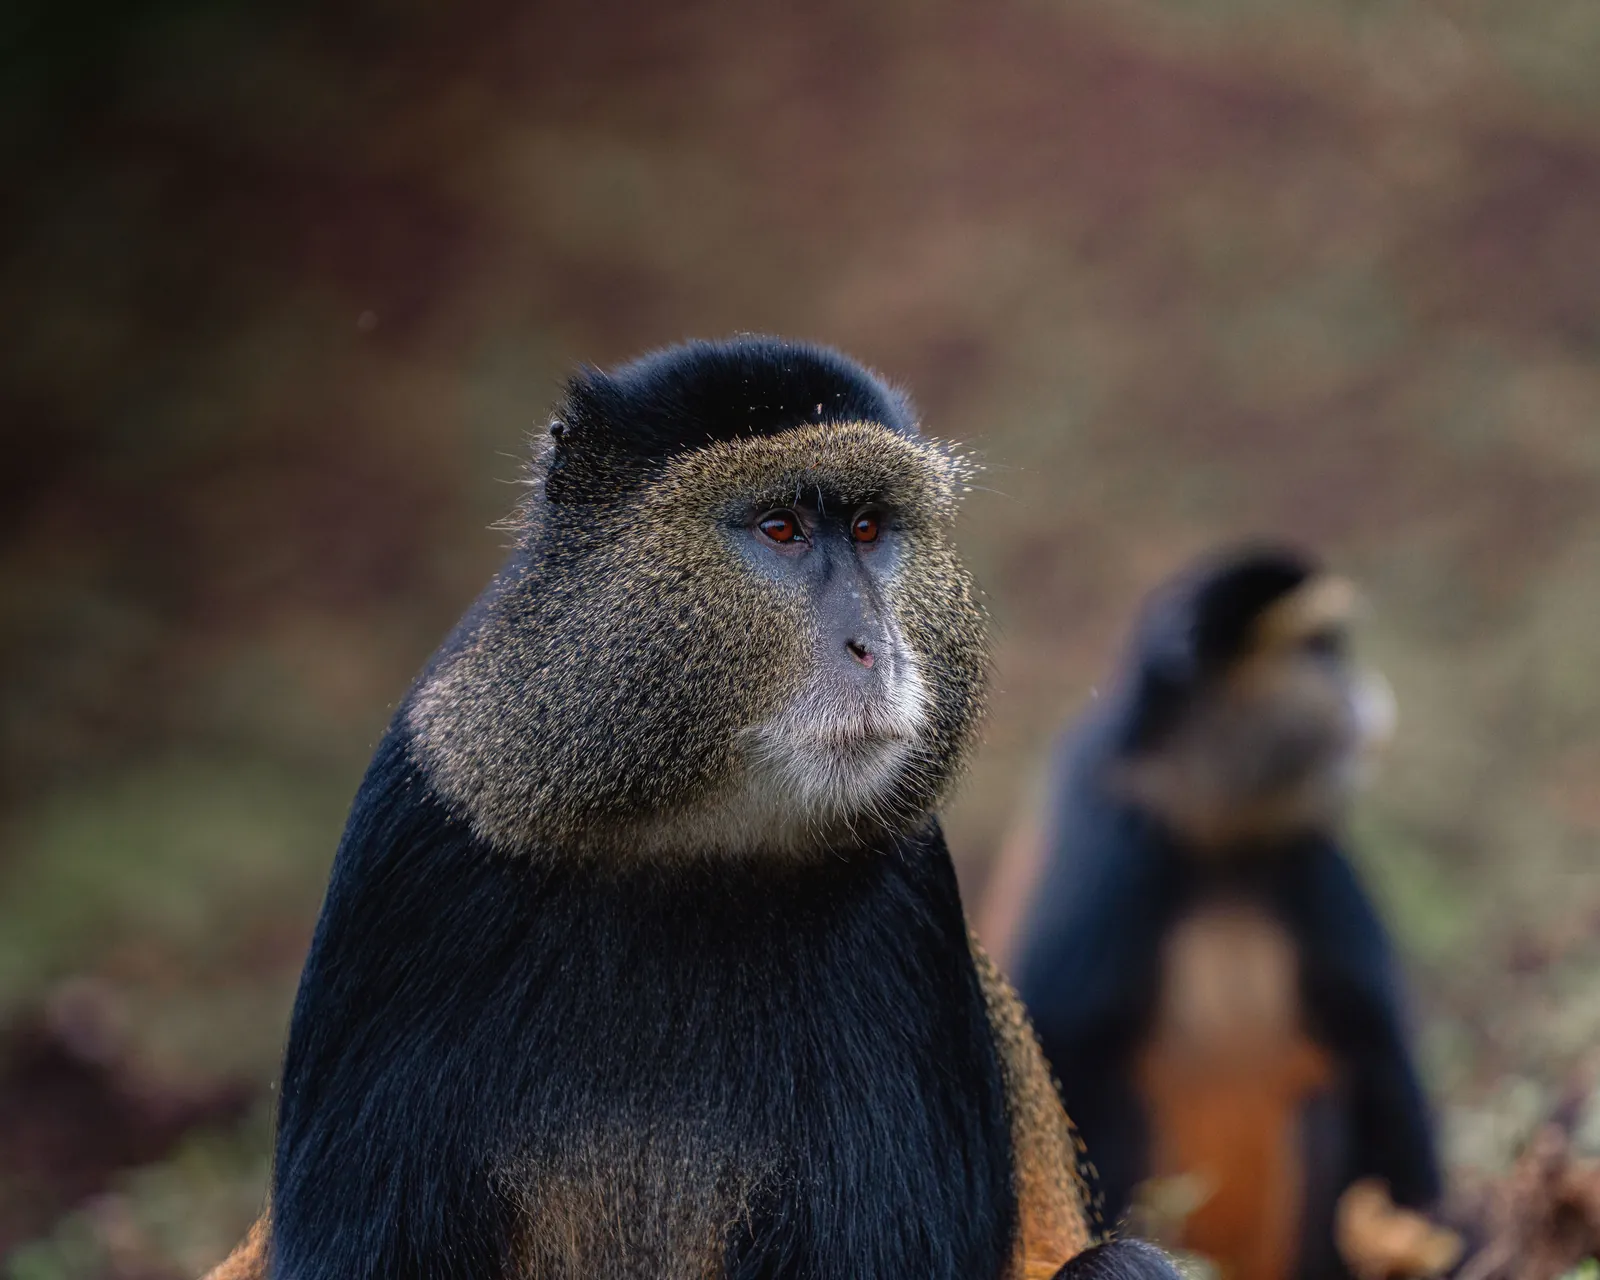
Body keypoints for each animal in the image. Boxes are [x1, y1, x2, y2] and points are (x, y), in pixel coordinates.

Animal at [200, 336, 1186, 1280]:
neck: (684, 837)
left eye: (869, 528)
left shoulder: (911, 901)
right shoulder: (412, 847)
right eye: (781, 528)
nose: (875, 647)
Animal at [992, 543, 1461, 1280]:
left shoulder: (1308, 852)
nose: (1360, 693)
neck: (1212, 829)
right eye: (1320, 650)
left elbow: (1374, 1044)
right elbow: (1063, 1037)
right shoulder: (1113, 834)